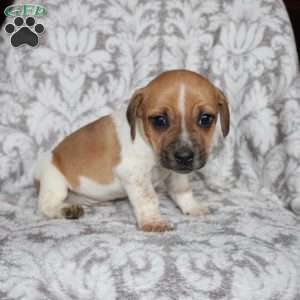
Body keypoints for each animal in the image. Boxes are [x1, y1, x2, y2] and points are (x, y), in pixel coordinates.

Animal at [34, 69, 230, 232]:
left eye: (205, 119)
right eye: (159, 120)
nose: (184, 156)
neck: (148, 143)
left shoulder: (176, 173)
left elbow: (183, 191)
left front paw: (192, 207)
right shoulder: (135, 176)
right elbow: (149, 198)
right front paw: (153, 221)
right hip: (55, 182)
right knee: (46, 205)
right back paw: (66, 210)